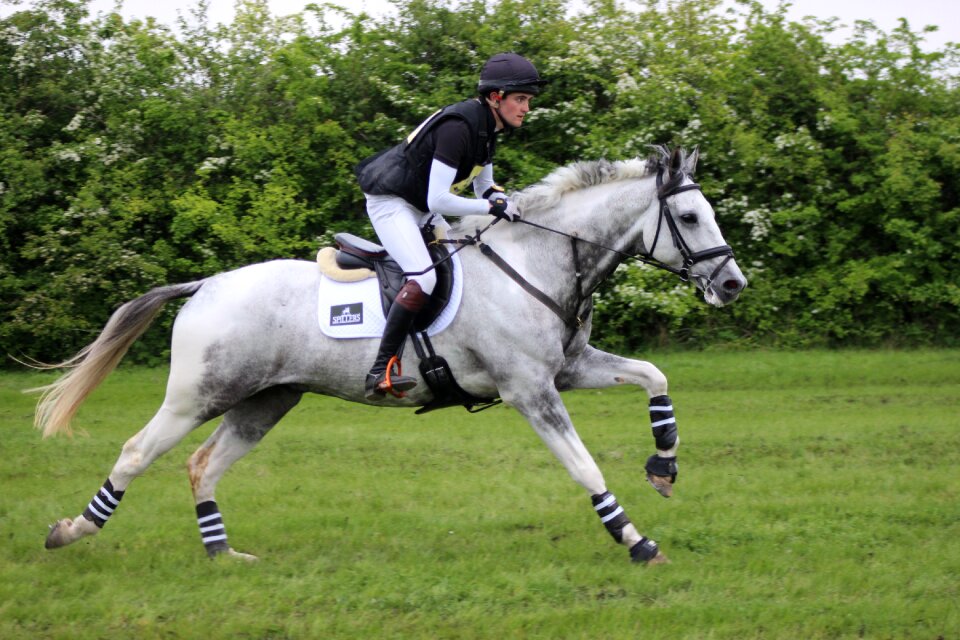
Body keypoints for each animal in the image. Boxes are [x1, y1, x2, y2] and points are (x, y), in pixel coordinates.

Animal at [33, 146, 748, 564]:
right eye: (689, 218)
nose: (733, 285)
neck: (539, 261)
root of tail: (206, 285)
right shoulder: (531, 392)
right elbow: (584, 466)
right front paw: (634, 540)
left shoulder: (568, 371)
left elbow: (652, 376)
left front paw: (664, 466)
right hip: (199, 394)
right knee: (137, 452)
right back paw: (70, 532)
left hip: (267, 400)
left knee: (203, 465)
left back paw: (223, 555)